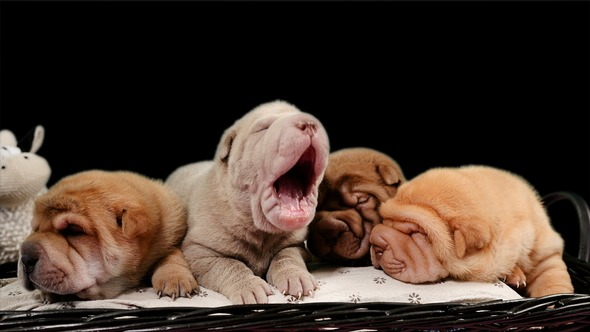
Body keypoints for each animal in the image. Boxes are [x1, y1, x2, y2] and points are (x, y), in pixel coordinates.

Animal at [17, 170, 199, 302]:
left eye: (73, 230)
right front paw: (47, 294)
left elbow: (171, 255)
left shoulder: (170, 240)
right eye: (35, 229)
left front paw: (175, 278)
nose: (25, 257)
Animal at [166, 100, 330, 304]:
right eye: (263, 129)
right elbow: (228, 264)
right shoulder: (198, 251)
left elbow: (286, 255)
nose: (308, 123)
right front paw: (249, 287)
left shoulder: (297, 245)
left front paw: (296, 277)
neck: (259, 229)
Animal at [372, 166, 576, 298]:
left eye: (417, 233)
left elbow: (552, 281)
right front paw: (513, 274)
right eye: (385, 221)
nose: (376, 243)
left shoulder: (544, 252)